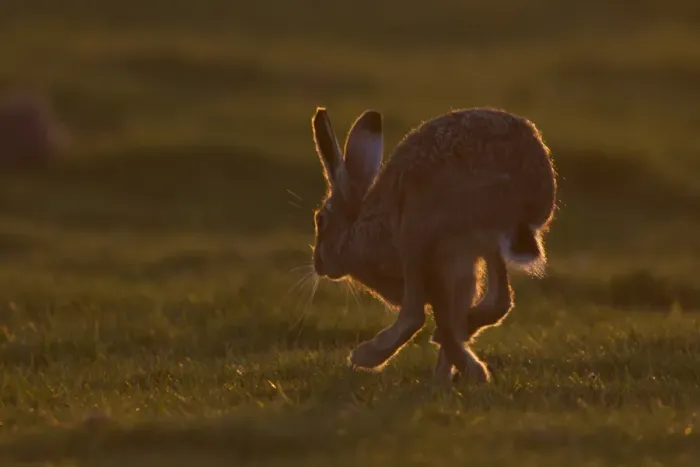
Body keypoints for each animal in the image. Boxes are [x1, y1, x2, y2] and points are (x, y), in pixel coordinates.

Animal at [310, 105, 557, 382]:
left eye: (320, 220)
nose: (318, 264)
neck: (357, 228)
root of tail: (521, 190)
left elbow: (434, 315)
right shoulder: (460, 268)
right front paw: (445, 373)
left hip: (417, 230)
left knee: (415, 315)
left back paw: (367, 356)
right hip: (486, 245)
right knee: (498, 300)